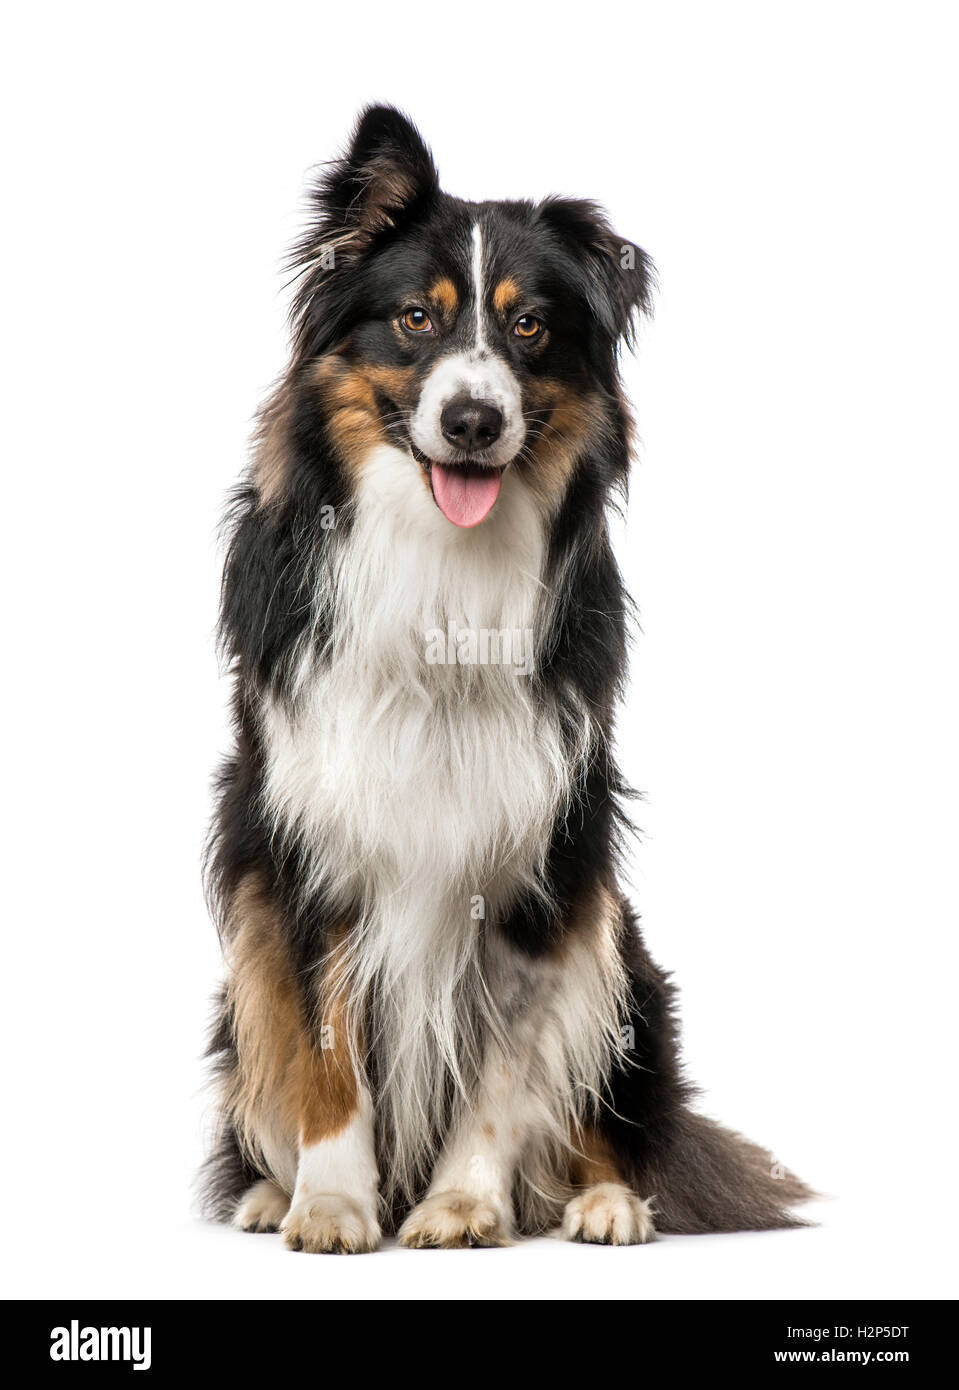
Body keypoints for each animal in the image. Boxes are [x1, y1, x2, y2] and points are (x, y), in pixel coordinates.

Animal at [201, 108, 806, 1251]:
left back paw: (604, 1201)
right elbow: (325, 1044)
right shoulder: (309, 841)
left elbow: (504, 1060)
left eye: (527, 328)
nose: (474, 421)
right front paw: (332, 1202)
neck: (442, 565)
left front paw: (461, 1203)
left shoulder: (540, 855)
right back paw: (264, 1190)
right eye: (414, 320)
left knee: (607, 1116)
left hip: (620, 947)